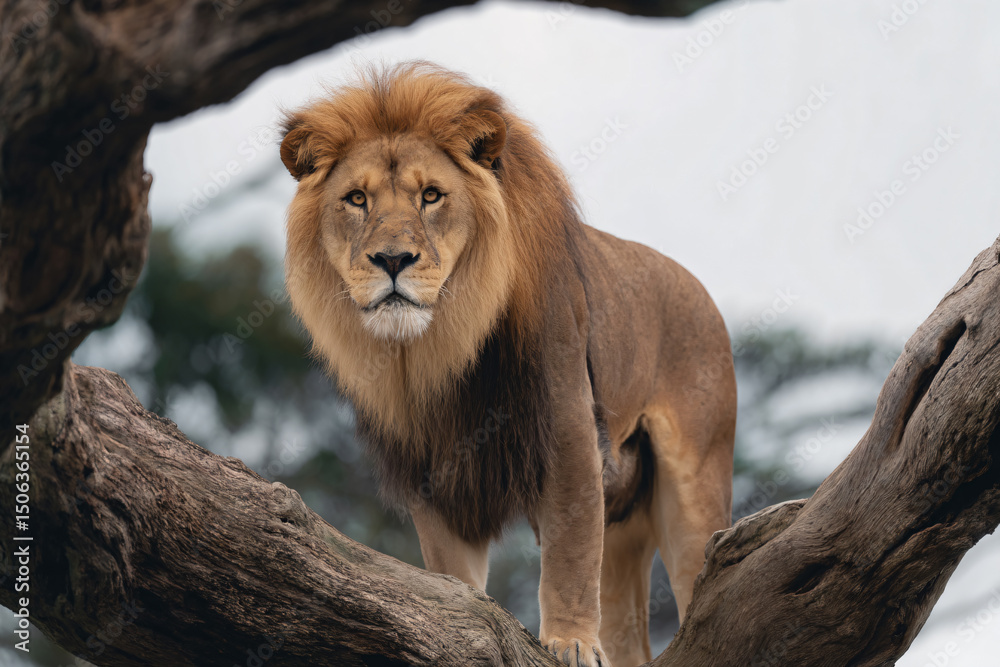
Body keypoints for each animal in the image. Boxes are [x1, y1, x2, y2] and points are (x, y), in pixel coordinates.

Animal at [280, 63, 736, 667]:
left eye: (431, 196)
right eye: (356, 199)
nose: (393, 260)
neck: (439, 344)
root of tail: (699, 288)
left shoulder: (568, 434)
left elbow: (569, 554)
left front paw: (568, 643)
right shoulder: (436, 468)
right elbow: (454, 574)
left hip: (694, 484)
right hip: (623, 524)